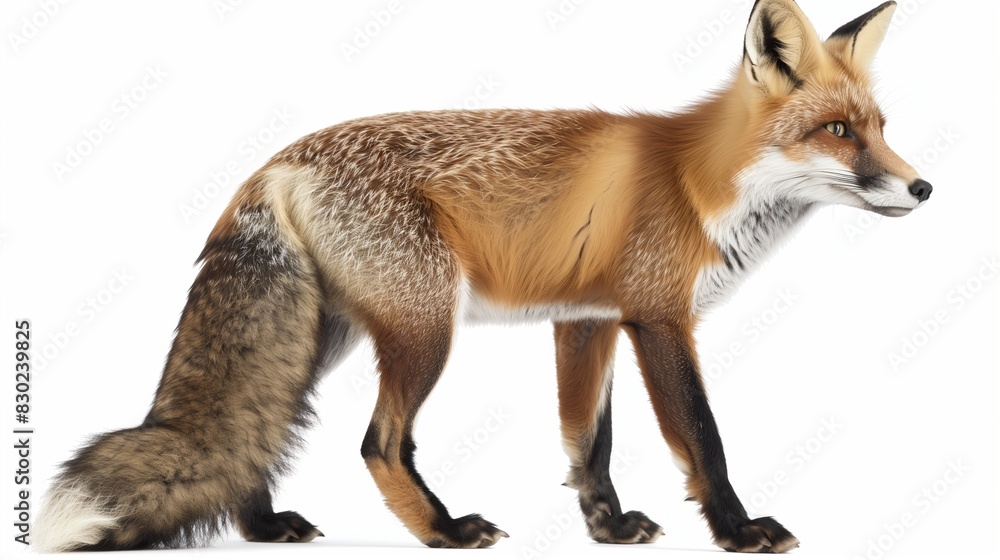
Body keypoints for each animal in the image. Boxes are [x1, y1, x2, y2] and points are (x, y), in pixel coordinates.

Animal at [34, 0, 931, 554]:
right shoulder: (657, 318)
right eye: (838, 131)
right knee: (378, 443)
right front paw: (740, 533)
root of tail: (276, 163)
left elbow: (589, 444)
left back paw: (262, 528)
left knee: (258, 431)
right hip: (426, 326)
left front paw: (607, 530)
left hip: (326, 337)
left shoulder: (586, 319)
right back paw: (444, 532)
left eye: (883, 127)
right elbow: (703, 438)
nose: (923, 188)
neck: (696, 183)